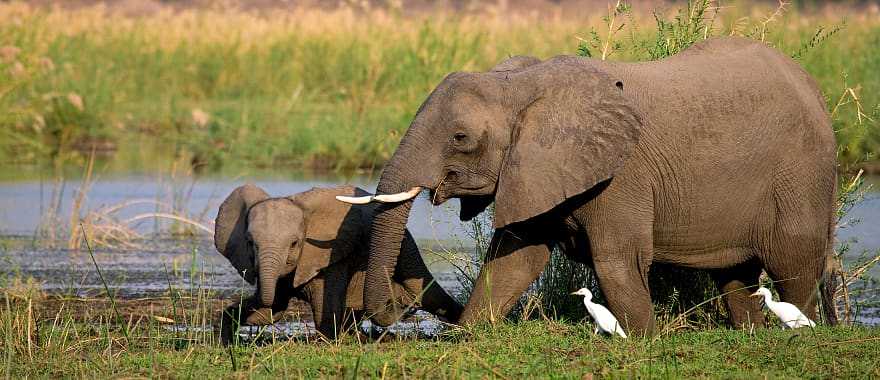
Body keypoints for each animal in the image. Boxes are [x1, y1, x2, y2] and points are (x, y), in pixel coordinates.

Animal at [215, 185, 460, 344]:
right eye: (249, 243)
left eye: (294, 243)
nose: (404, 307)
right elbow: (272, 310)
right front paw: (227, 338)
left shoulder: (331, 254)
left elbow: (321, 305)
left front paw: (328, 341)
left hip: (405, 247)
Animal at [338, 37, 840, 336]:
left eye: (459, 138)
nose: (394, 315)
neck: (522, 85)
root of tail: (813, 88)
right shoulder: (536, 170)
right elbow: (513, 260)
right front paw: (469, 336)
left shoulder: (621, 176)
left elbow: (617, 261)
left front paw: (641, 341)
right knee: (736, 275)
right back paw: (750, 333)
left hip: (801, 172)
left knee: (794, 262)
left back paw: (799, 330)